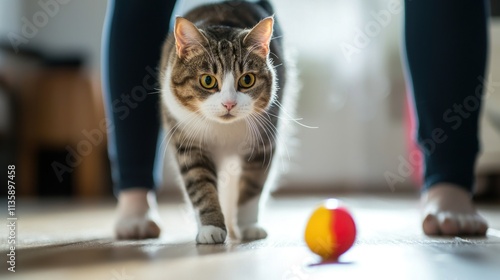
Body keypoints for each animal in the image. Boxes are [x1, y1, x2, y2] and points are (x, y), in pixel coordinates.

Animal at [160, 0, 292, 244]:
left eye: (247, 80)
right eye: (208, 80)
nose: (229, 104)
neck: (224, 130)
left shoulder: (262, 146)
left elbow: (251, 189)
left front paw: (248, 226)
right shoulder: (188, 144)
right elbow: (201, 187)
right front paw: (211, 227)